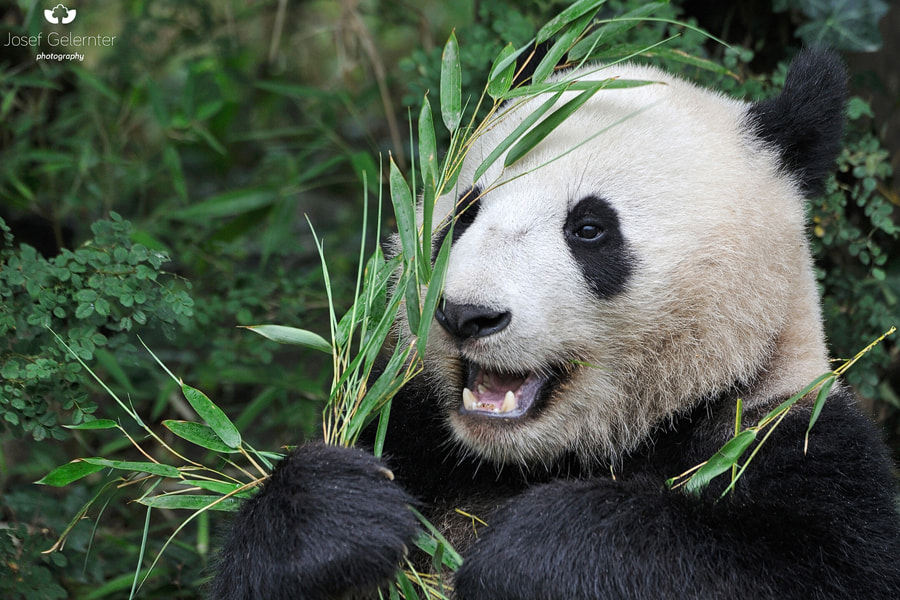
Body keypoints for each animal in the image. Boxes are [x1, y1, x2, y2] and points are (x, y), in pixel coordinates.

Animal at [211, 49, 900, 599]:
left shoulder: (790, 441)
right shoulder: (417, 430)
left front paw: (521, 553)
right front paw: (339, 514)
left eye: (589, 228)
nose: (465, 314)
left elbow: (795, 565)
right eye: (464, 213)